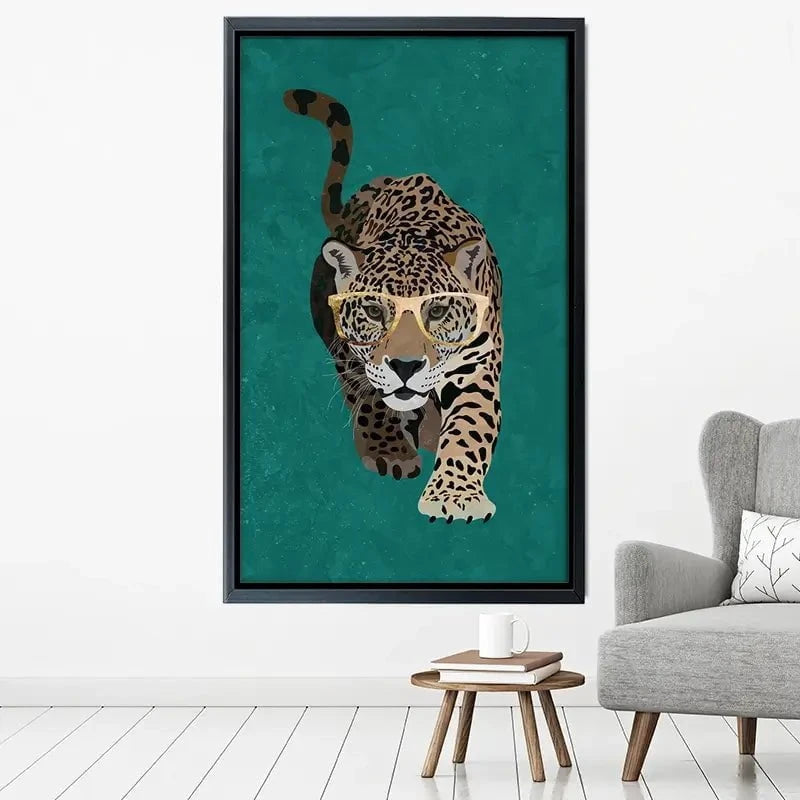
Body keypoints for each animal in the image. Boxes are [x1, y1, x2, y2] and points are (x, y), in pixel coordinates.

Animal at [284, 88, 503, 523]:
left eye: (436, 311)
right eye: (373, 311)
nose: (405, 367)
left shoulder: (476, 364)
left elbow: (470, 426)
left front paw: (455, 496)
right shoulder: (352, 352)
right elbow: (370, 398)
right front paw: (389, 451)